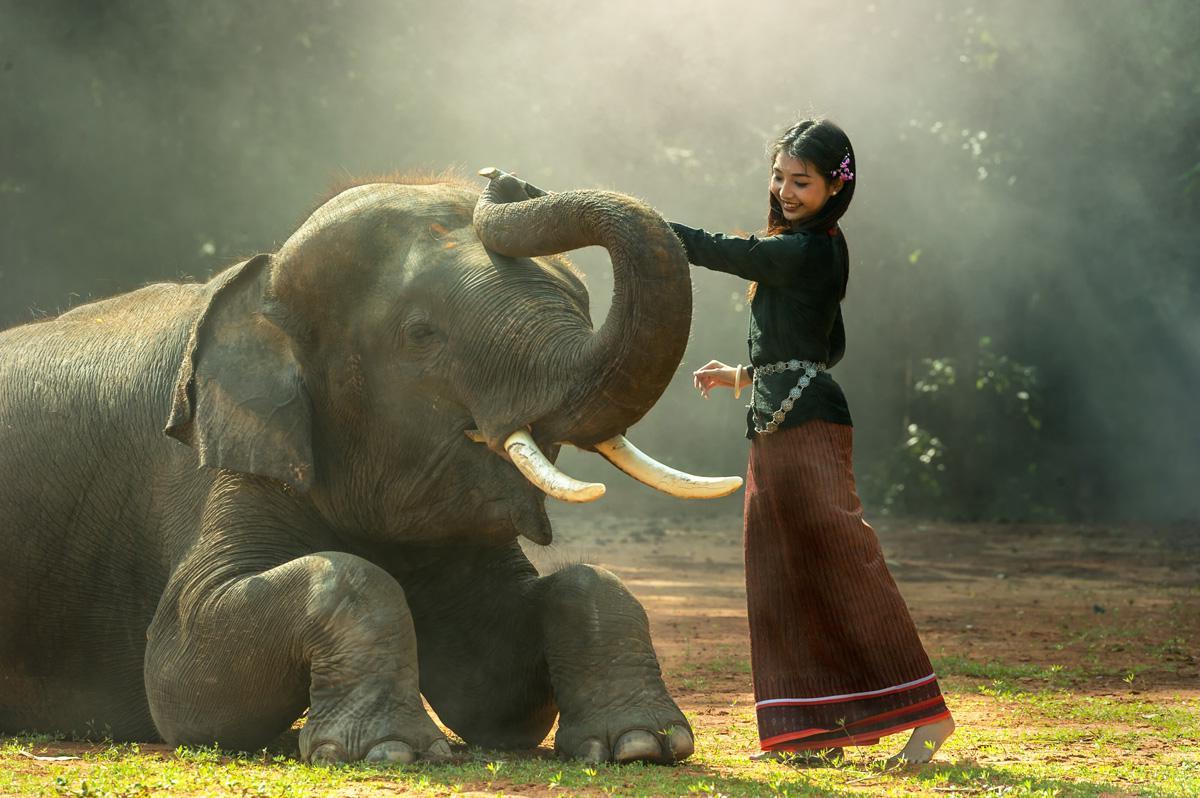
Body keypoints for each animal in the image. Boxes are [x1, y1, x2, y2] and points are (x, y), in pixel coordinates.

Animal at [0, 168, 742, 765]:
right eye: (422, 334)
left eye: (581, 304)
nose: (503, 179)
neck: (260, 281)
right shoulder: (227, 460)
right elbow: (183, 675)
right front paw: (389, 752)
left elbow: (494, 682)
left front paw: (642, 746)